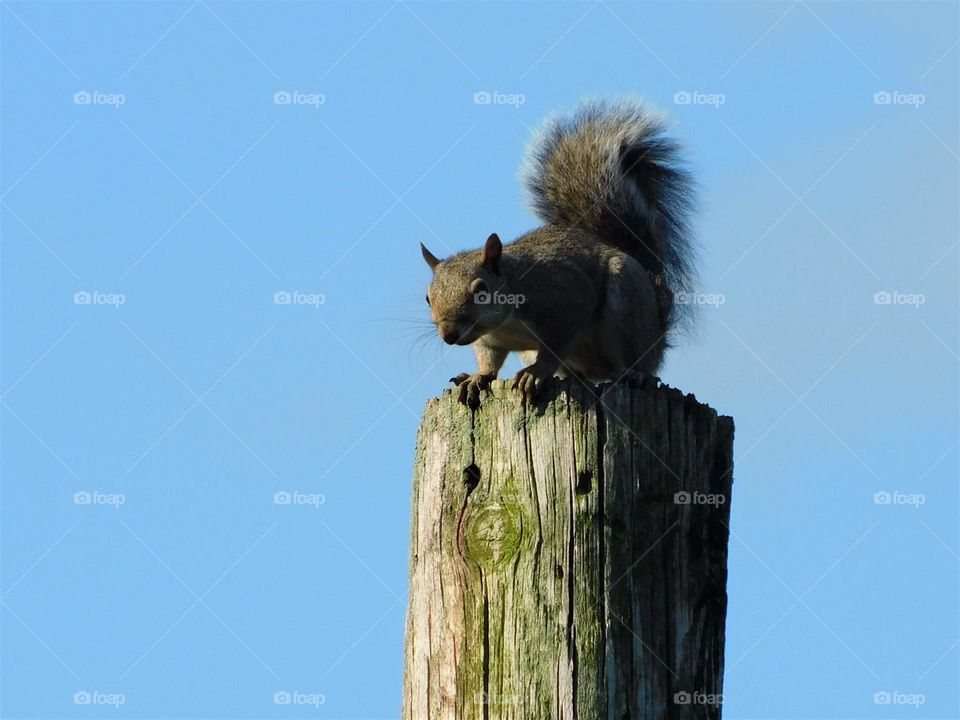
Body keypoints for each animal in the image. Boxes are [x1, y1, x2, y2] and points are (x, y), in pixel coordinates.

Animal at [420, 99, 696, 408]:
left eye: (481, 289)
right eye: (428, 297)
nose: (448, 334)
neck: (506, 322)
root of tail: (659, 337)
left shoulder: (565, 303)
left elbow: (555, 345)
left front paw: (536, 372)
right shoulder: (489, 339)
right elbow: (489, 361)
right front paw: (478, 377)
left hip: (627, 306)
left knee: (630, 361)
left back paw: (633, 373)